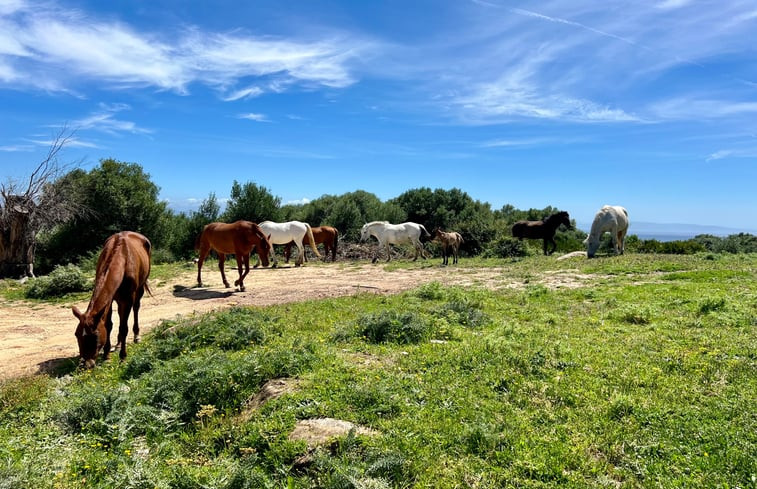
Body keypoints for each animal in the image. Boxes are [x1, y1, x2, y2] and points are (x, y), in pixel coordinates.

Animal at [71, 231, 151, 368]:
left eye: (95, 336)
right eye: (76, 334)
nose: (86, 364)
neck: (122, 258)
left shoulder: (128, 299)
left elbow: (124, 328)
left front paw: (123, 357)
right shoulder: (110, 299)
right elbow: (108, 325)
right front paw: (107, 355)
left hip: (139, 288)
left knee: (136, 308)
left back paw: (136, 336)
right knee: (120, 313)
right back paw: (118, 344)